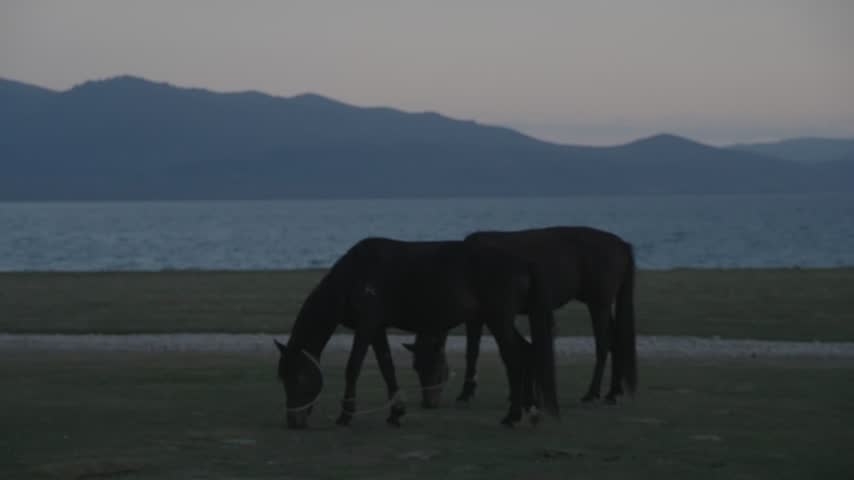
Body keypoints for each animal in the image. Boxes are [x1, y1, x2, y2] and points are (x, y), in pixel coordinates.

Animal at [273, 237, 559, 429]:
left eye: (299, 377)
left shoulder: (366, 327)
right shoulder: (376, 329)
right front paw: (395, 413)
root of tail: (522, 262)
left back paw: (512, 416)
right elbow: (386, 366)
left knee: (514, 359)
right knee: (527, 351)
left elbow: (353, 367)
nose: (293, 421)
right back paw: (530, 410)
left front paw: (346, 416)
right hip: (501, 321)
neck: (354, 275)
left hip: (498, 320)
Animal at [408, 226, 638, 406]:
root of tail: (621, 245)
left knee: (603, 344)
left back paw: (592, 393)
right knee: (616, 341)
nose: (427, 402)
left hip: (599, 304)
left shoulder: (478, 318)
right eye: (416, 367)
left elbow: (472, 351)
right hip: (601, 305)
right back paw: (612, 392)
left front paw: (466, 393)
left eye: (433, 364)